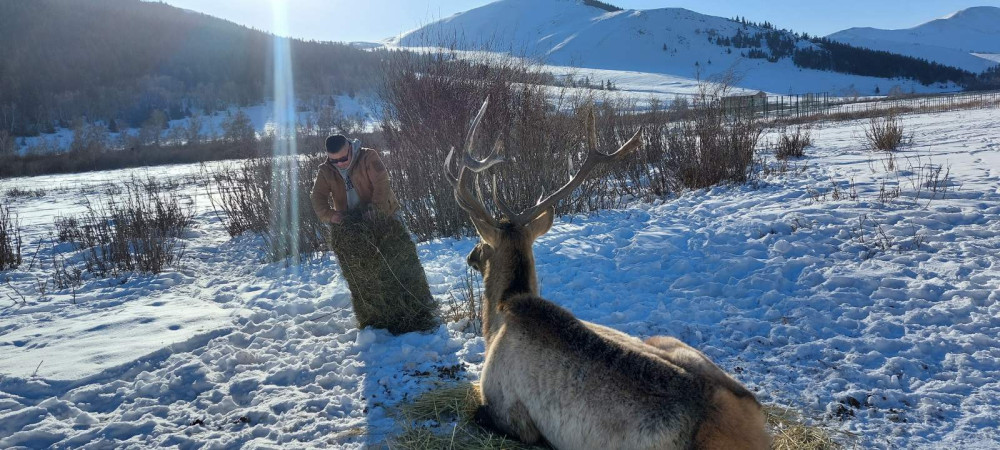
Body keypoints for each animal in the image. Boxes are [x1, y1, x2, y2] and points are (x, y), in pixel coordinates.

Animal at [446, 99, 772, 450]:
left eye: (482, 242)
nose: (470, 255)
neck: (497, 317)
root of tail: (750, 426)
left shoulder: (508, 408)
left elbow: (479, 413)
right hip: (671, 343)